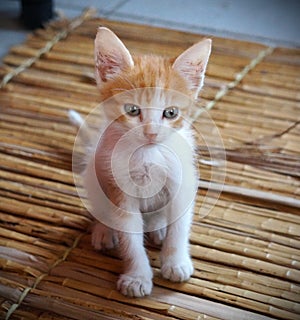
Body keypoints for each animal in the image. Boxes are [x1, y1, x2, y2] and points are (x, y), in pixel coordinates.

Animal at [69, 27, 211, 298]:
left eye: (171, 113)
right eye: (133, 110)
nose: (151, 133)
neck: (149, 154)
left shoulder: (183, 181)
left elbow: (180, 226)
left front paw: (176, 262)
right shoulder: (119, 187)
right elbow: (130, 237)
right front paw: (137, 277)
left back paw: (158, 226)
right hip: (93, 172)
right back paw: (103, 231)